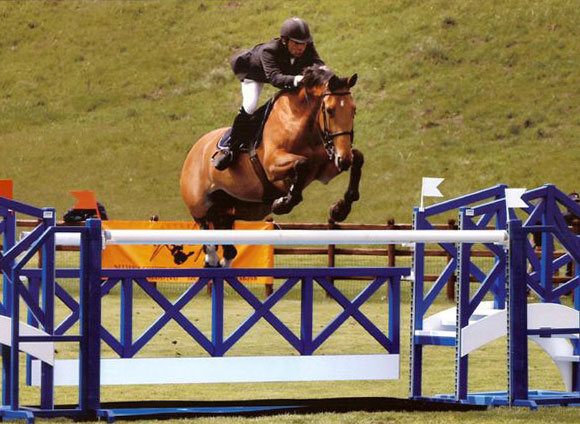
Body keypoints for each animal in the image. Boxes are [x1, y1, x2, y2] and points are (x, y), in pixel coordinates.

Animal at [180, 64, 362, 266]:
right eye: (330, 110)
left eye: (354, 110)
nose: (343, 159)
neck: (302, 122)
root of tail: (193, 151)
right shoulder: (272, 166)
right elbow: (302, 163)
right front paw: (283, 203)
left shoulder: (324, 169)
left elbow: (358, 157)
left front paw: (340, 209)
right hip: (200, 207)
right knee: (209, 242)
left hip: (234, 211)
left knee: (228, 251)